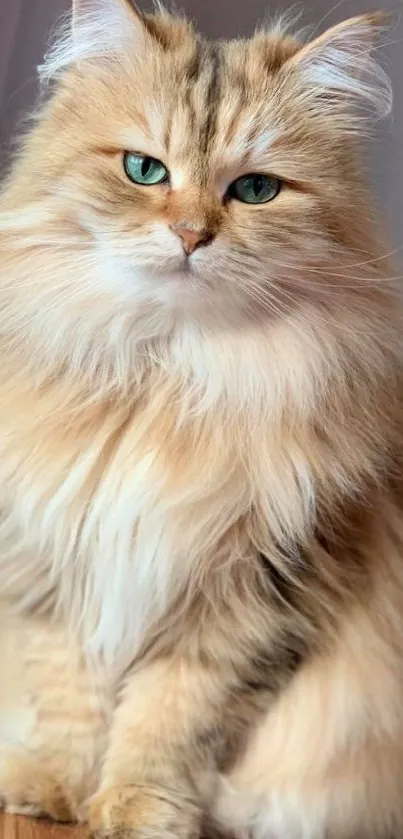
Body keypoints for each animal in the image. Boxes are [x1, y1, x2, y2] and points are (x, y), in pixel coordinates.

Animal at [0, 0, 403, 836]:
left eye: (254, 189)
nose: (191, 235)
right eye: (144, 170)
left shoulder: (253, 596)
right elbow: (70, 699)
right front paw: (55, 789)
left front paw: (139, 809)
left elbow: (169, 722)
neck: (168, 378)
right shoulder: (56, 565)